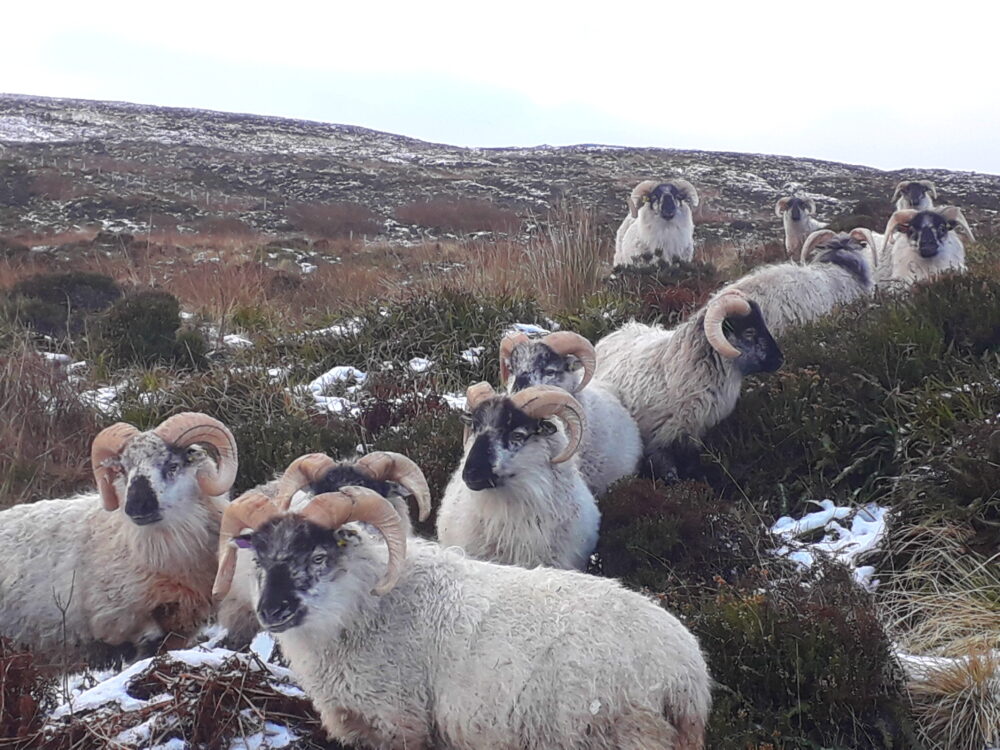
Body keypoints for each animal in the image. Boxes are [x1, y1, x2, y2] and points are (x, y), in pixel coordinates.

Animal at [212, 484, 712, 750]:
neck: (367, 606)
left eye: (318, 556)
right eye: (259, 557)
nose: (272, 610)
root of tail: (685, 674)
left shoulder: (401, 723)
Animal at [594, 293, 783, 480]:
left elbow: (692, 464)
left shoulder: (692, 434)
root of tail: (620, 330)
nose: (781, 359)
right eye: (749, 332)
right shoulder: (656, 441)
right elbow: (668, 471)